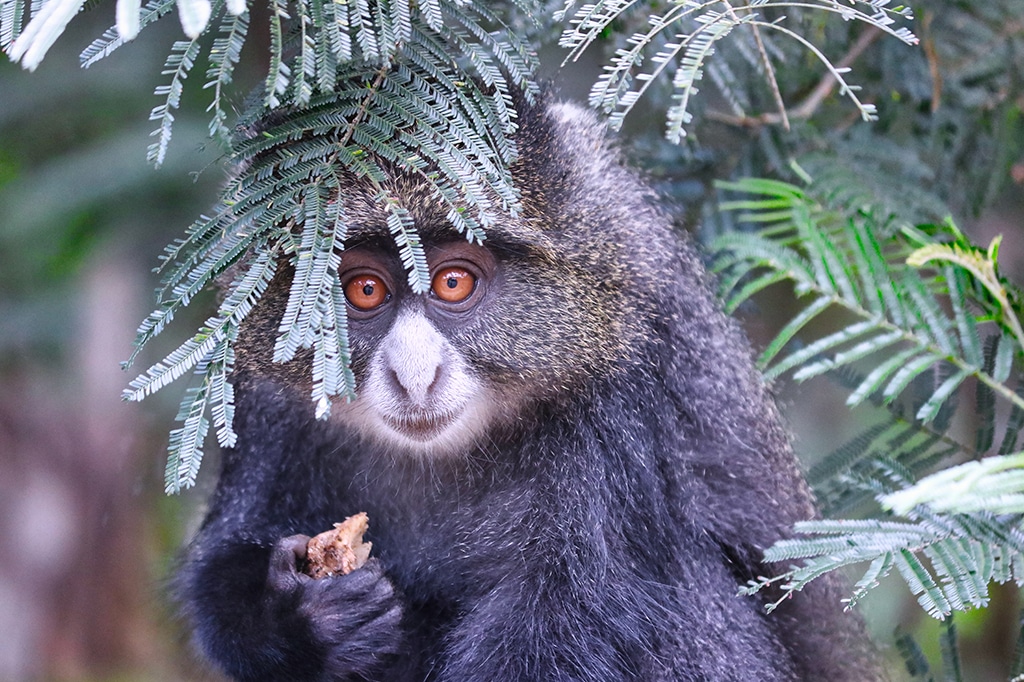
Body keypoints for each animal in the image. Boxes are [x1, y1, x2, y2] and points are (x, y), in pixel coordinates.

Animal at [175, 96, 884, 681]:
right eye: (365, 290)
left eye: (454, 282)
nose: (415, 375)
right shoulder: (261, 396)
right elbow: (222, 560)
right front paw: (303, 614)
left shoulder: (620, 394)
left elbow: (563, 628)